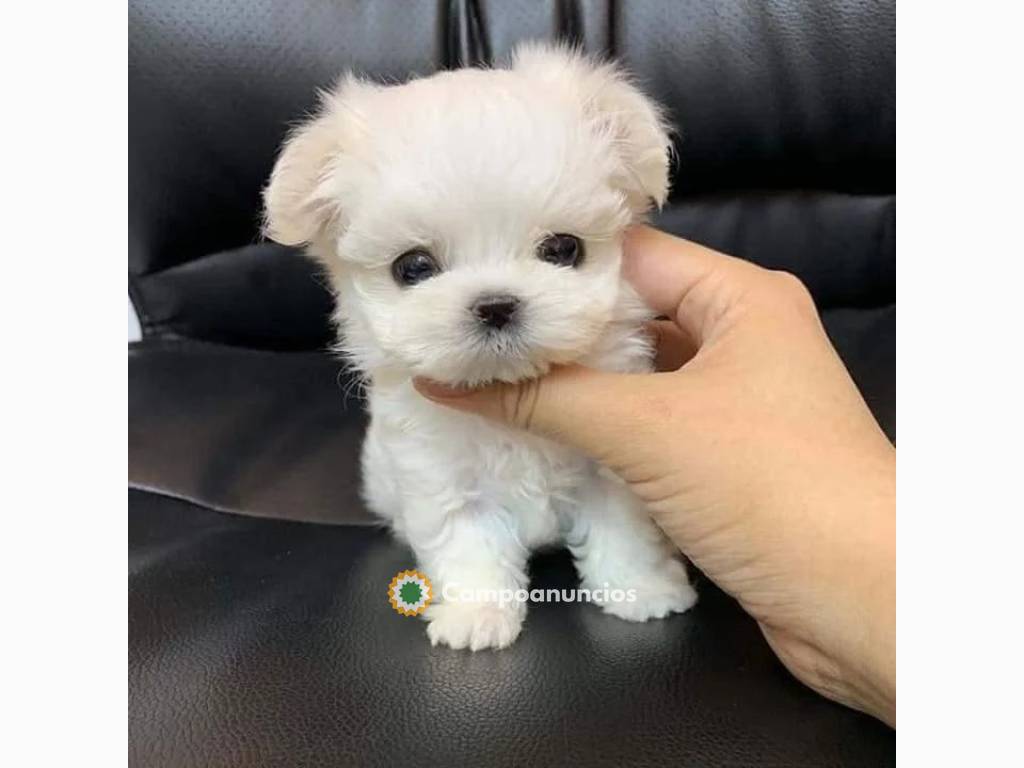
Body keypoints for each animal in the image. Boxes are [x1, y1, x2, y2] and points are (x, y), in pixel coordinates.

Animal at [262, 45, 696, 651]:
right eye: (413, 267)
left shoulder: (611, 471)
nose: (495, 305)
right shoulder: (441, 478)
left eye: (563, 249)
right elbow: (468, 547)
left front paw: (643, 590)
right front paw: (477, 616)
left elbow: (624, 530)